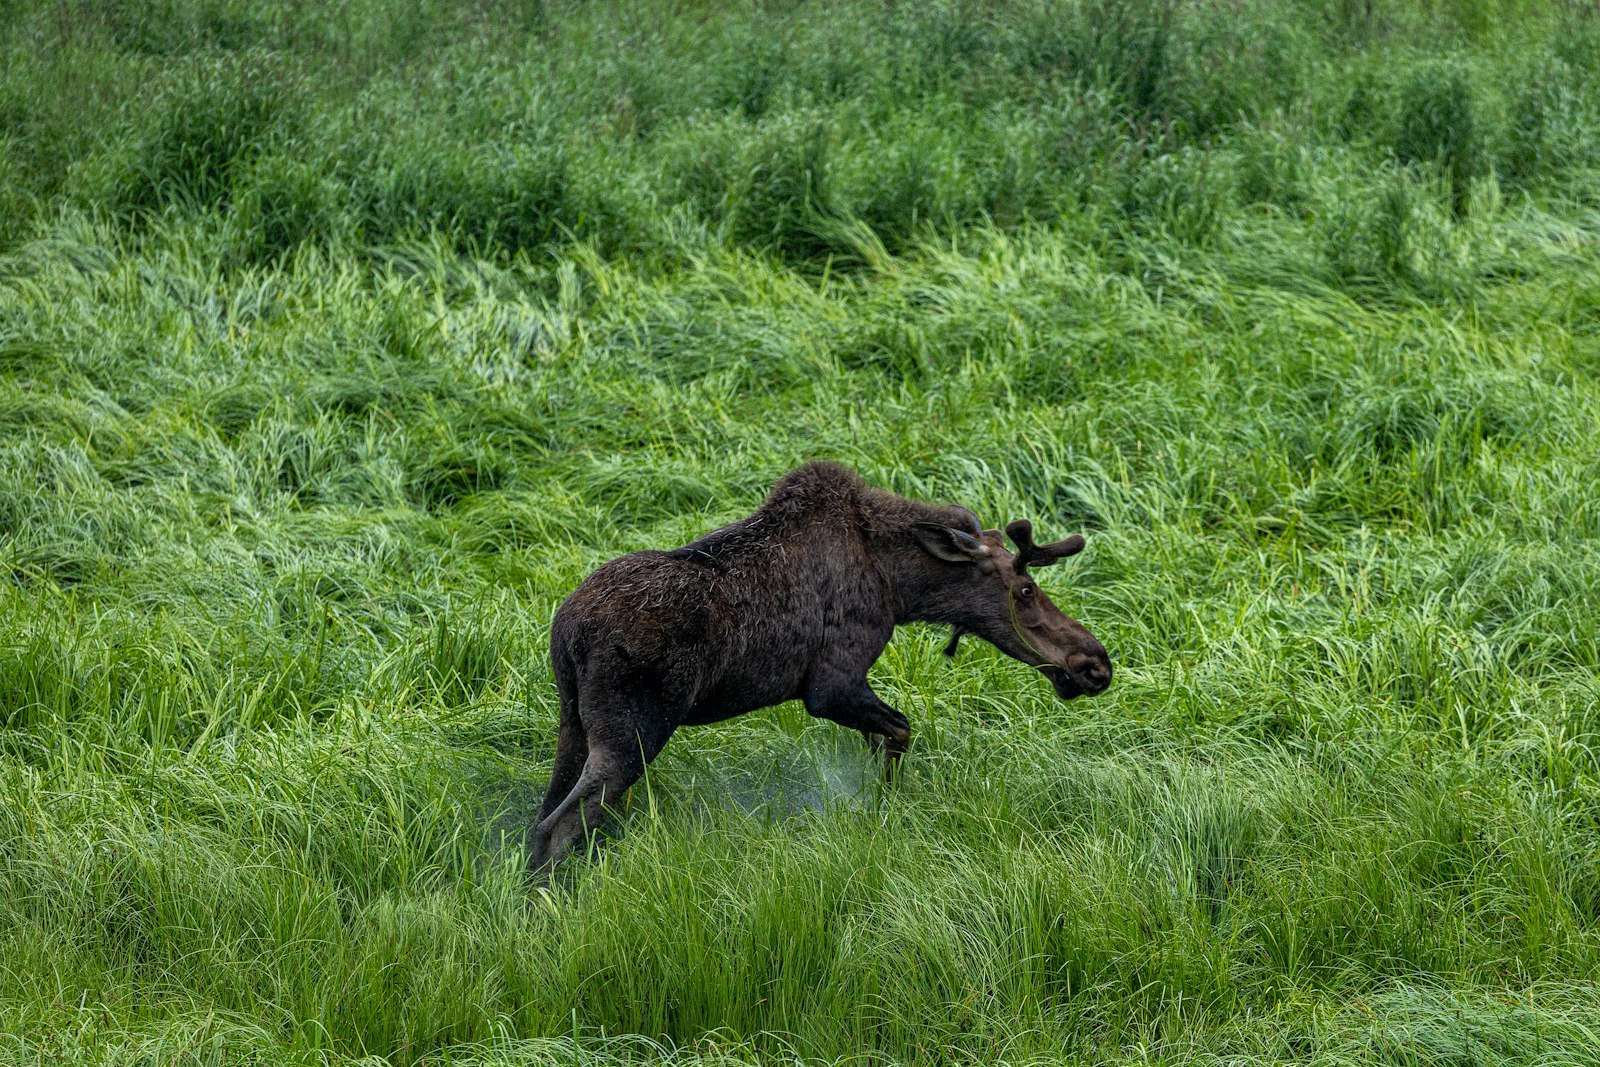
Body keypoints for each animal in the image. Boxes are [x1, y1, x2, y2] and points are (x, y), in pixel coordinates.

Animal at [530, 461, 1112, 871]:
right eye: (1025, 589)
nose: (1095, 664)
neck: (900, 586)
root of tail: (566, 631)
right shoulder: (831, 685)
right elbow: (899, 732)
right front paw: (884, 809)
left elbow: (883, 738)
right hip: (632, 731)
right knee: (560, 825)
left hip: (573, 722)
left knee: (542, 817)